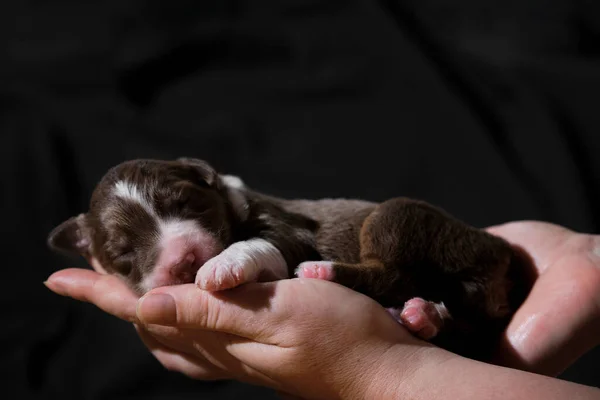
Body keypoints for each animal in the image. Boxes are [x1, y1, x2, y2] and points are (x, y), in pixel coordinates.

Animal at [49, 158, 532, 360]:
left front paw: (220, 265)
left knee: (393, 272)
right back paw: (424, 317)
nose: (185, 260)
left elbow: (256, 244)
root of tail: (502, 256)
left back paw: (326, 272)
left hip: (400, 216)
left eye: (189, 204)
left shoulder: (288, 231)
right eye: (122, 253)